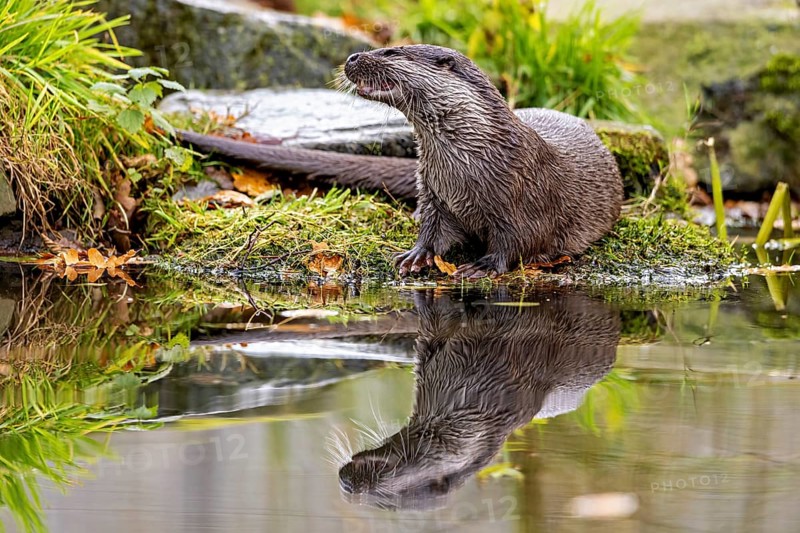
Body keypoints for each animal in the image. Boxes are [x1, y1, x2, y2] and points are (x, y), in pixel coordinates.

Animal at [180, 44, 623, 279]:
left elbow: (519, 241)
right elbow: (432, 228)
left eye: (391, 51)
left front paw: (482, 267)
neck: (471, 167)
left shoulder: (527, 198)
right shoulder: (434, 193)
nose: (353, 56)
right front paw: (417, 255)